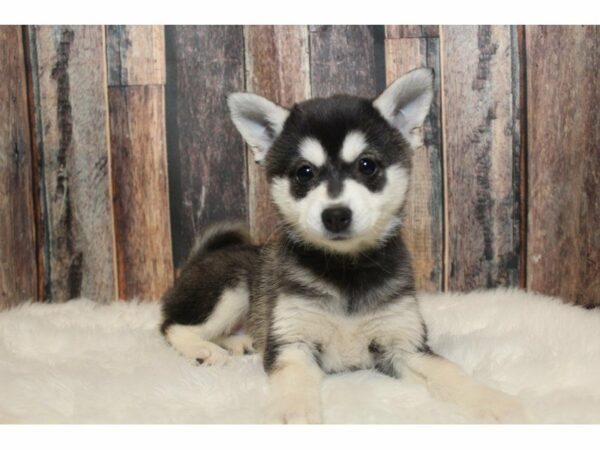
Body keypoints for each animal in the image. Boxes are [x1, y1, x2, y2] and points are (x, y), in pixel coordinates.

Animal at [161, 68, 524, 424]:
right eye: (304, 172)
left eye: (367, 165)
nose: (335, 215)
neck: (346, 267)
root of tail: (200, 257)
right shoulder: (293, 342)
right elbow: (293, 384)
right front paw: (293, 416)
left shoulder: (404, 344)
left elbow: (450, 373)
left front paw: (496, 402)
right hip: (231, 289)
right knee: (171, 326)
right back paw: (203, 349)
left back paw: (241, 341)